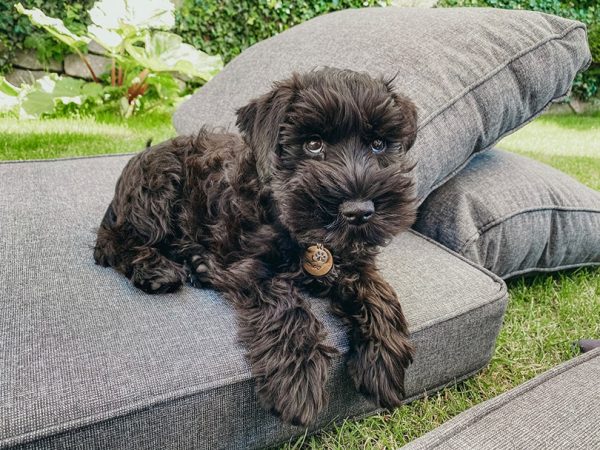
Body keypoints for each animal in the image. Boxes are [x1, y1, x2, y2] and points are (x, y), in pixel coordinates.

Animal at [96, 67, 420, 426]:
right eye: (313, 144)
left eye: (379, 144)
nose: (359, 211)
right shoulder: (249, 266)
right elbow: (286, 303)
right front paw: (298, 378)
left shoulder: (355, 258)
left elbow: (378, 291)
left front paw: (384, 357)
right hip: (158, 191)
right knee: (111, 242)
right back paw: (156, 269)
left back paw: (197, 264)